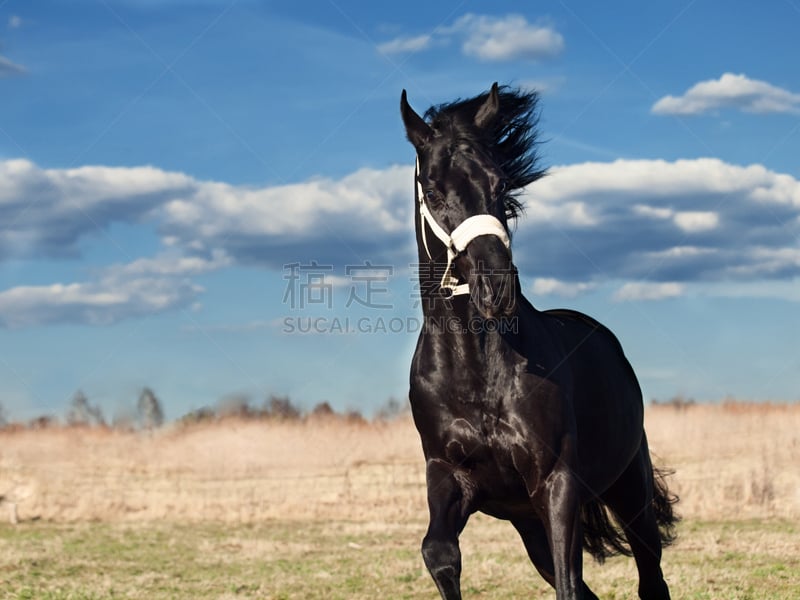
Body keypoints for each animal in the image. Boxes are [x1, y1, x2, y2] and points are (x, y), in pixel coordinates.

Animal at [400, 85, 676, 600]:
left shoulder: (555, 484)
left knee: (650, 580)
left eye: (499, 183)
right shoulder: (448, 476)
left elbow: (569, 584)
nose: (497, 287)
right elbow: (438, 553)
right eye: (433, 188)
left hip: (631, 491)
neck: (477, 376)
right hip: (528, 525)